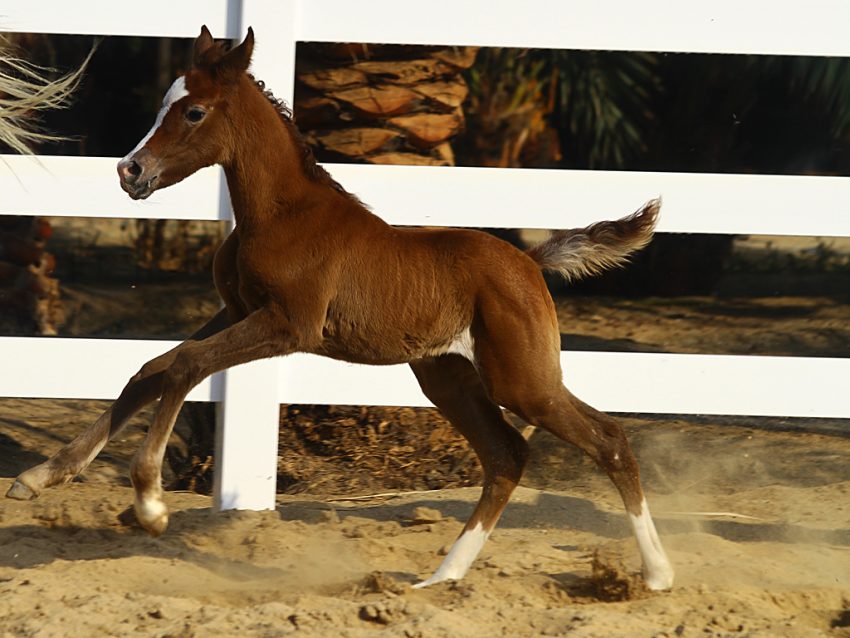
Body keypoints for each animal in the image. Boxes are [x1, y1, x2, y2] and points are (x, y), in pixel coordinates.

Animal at [4, 27, 668, 592]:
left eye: (193, 111)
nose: (129, 171)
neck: (282, 214)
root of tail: (530, 260)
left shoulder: (287, 325)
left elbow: (187, 365)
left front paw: (150, 503)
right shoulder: (235, 311)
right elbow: (151, 370)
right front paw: (40, 478)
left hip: (522, 381)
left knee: (607, 439)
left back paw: (657, 575)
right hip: (447, 377)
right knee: (507, 456)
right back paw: (440, 578)